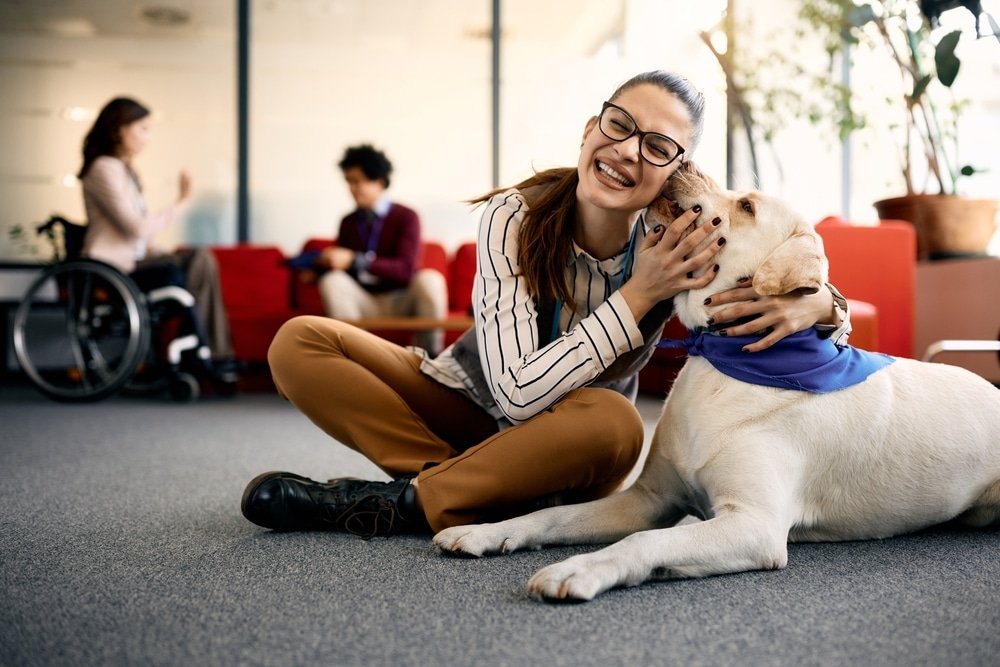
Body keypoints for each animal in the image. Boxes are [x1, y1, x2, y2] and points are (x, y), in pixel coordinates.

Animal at [434, 163, 1000, 604]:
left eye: (746, 205)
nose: (683, 162)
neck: (722, 360)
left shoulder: (752, 524)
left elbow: (642, 544)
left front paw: (578, 569)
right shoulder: (650, 499)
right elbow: (553, 517)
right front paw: (487, 531)